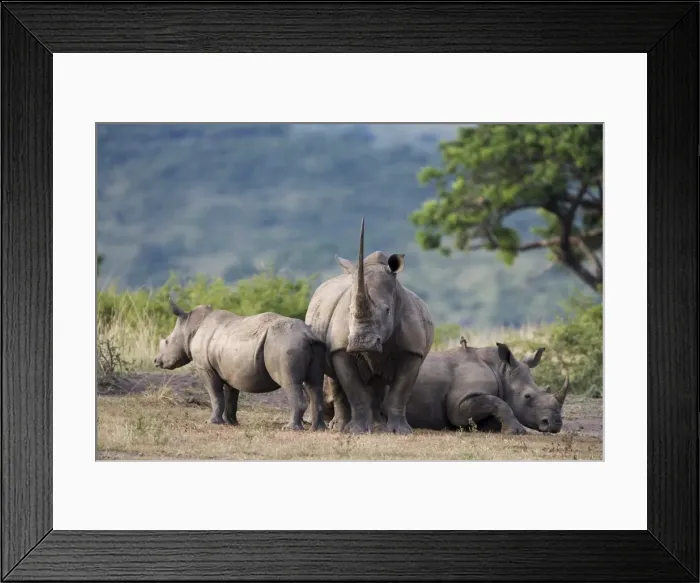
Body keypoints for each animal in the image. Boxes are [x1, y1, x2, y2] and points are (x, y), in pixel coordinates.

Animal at [153, 298, 327, 431]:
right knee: (315, 384)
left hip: (285, 343)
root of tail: (307, 334)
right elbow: (231, 396)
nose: (156, 361)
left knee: (290, 383)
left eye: (167, 342)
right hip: (312, 345)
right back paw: (318, 429)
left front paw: (212, 423)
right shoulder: (230, 370)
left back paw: (290, 429)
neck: (190, 328)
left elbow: (215, 395)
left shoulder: (205, 368)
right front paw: (231, 423)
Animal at [304, 218, 435, 434]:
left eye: (388, 310)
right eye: (349, 310)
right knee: (335, 380)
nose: (361, 342)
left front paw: (400, 431)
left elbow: (400, 391)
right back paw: (340, 427)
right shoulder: (340, 347)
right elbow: (354, 389)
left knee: (378, 381)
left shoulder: (413, 350)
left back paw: (378, 425)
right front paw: (356, 430)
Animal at [398, 337, 570, 434]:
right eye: (527, 396)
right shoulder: (459, 404)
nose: (555, 424)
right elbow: (499, 402)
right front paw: (517, 431)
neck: (501, 372)